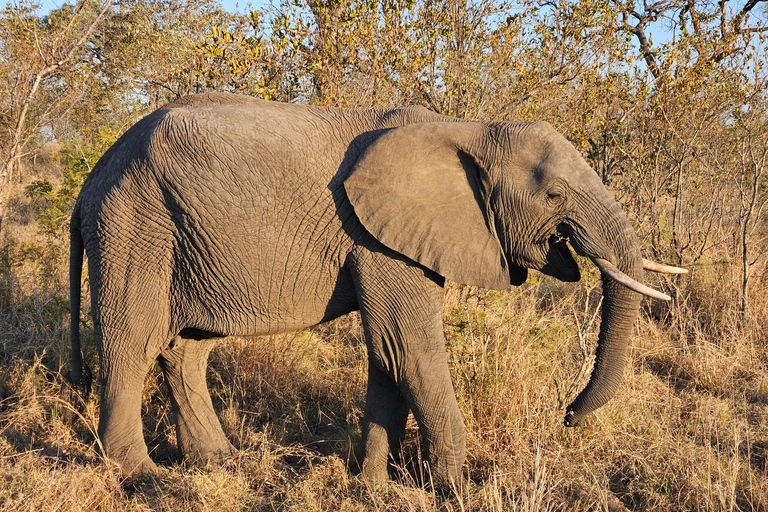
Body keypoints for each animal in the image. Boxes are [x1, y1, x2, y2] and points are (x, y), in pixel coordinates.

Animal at [67, 92, 684, 488]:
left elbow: (388, 353)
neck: (468, 129)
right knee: (131, 345)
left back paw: (220, 465)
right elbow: (409, 347)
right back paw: (142, 477)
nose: (568, 414)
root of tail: (94, 175)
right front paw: (457, 493)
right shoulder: (378, 237)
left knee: (185, 350)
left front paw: (372, 486)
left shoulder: (398, 237)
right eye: (554, 194)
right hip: (135, 225)